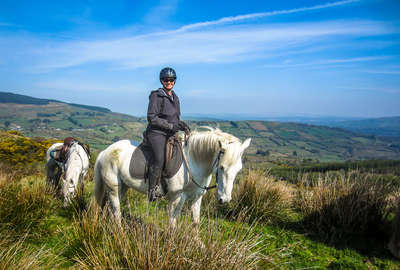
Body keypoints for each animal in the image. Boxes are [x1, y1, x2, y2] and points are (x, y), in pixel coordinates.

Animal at [94, 127, 250, 227]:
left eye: (238, 170)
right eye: (222, 167)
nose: (225, 199)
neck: (193, 161)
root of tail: (104, 152)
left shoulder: (196, 197)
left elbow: (195, 222)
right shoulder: (177, 197)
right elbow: (173, 223)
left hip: (123, 187)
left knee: (109, 207)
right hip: (113, 188)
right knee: (116, 211)